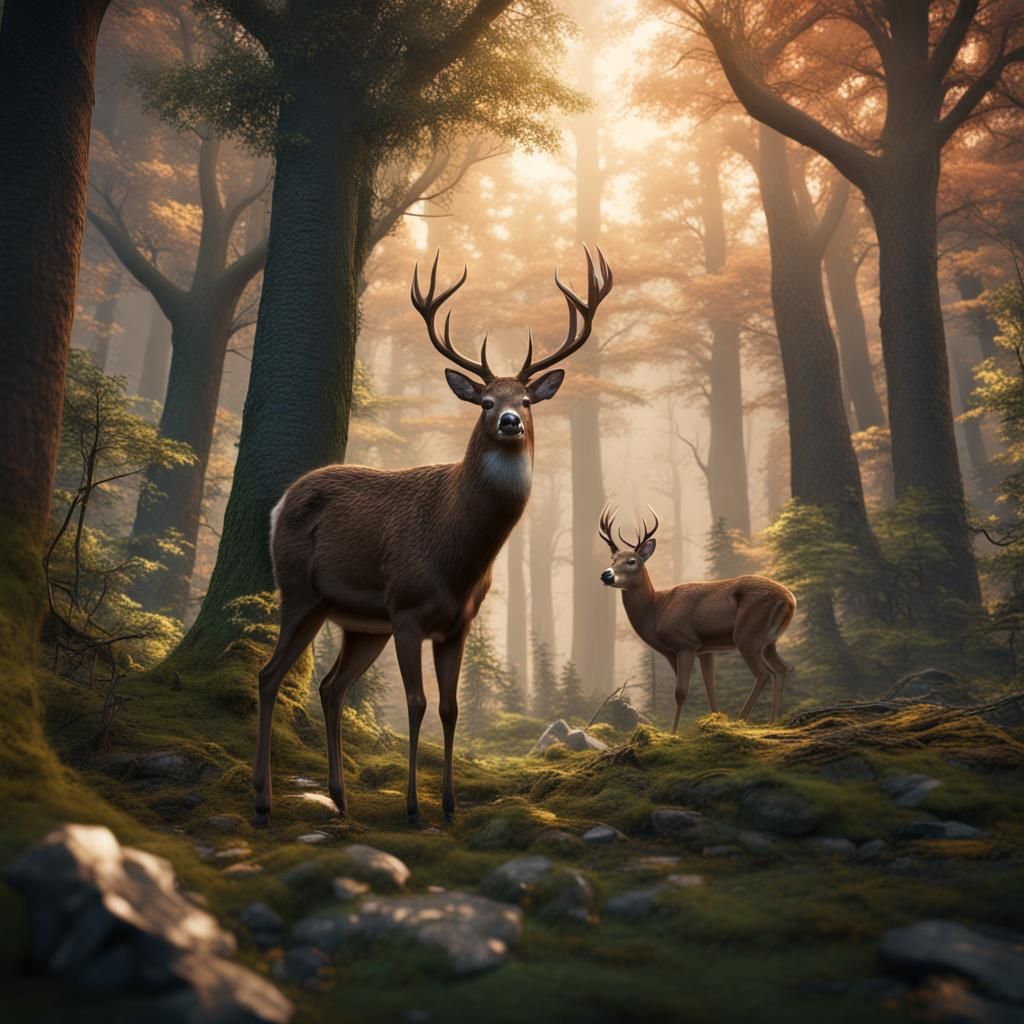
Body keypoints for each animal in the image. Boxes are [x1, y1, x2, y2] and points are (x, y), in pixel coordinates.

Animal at [251, 247, 612, 827]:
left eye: (527, 401)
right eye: (485, 401)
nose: (509, 421)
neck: (457, 556)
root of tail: (281, 503)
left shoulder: (457, 623)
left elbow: (450, 707)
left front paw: (448, 805)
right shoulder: (406, 610)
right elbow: (416, 704)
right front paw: (414, 807)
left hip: (359, 624)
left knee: (330, 687)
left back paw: (340, 798)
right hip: (302, 593)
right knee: (269, 675)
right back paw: (263, 801)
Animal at [598, 505, 796, 730]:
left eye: (632, 561)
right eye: (613, 559)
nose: (606, 574)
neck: (656, 610)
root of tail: (790, 599)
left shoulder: (685, 643)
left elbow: (681, 692)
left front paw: (673, 732)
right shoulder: (704, 649)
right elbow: (710, 688)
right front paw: (714, 721)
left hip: (747, 634)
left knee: (764, 673)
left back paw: (741, 719)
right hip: (769, 641)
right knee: (782, 669)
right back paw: (774, 722)